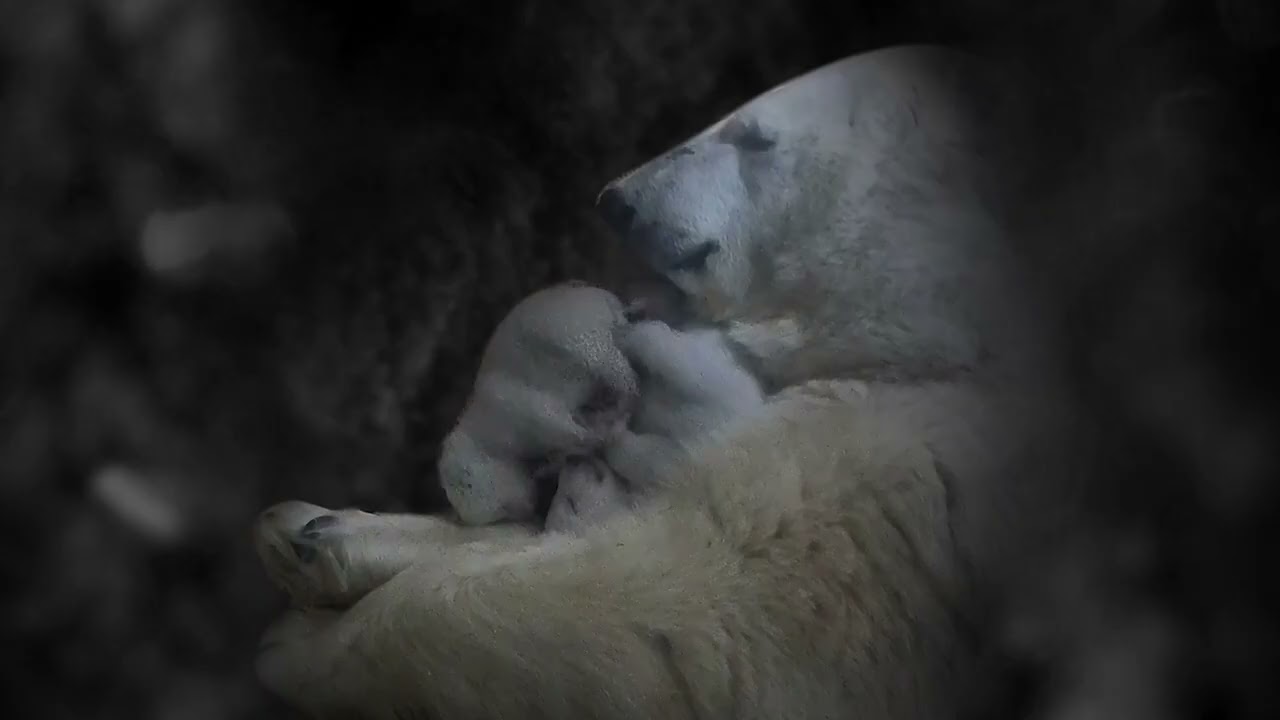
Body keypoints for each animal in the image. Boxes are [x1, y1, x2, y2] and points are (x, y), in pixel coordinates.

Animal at [251, 43, 1075, 719]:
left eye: (752, 135)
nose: (618, 199)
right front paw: (315, 531)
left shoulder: (898, 481)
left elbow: (680, 606)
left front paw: (305, 644)